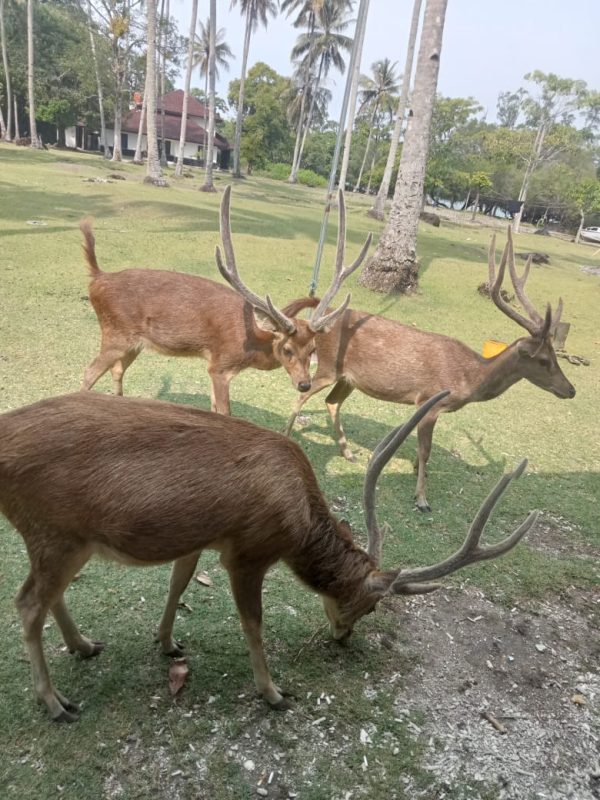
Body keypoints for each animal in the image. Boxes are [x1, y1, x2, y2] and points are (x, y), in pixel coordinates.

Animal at [0, 390, 536, 724]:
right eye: (370, 606)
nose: (343, 637)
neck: (297, 524)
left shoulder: (202, 537)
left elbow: (179, 580)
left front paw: (168, 641)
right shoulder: (248, 551)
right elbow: (253, 624)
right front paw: (274, 692)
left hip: (66, 540)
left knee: (47, 596)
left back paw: (84, 645)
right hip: (54, 532)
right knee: (26, 603)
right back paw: (55, 703)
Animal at [79, 187, 370, 412]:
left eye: (312, 350)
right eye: (287, 349)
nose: (304, 384)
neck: (253, 342)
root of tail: (97, 278)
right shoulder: (220, 365)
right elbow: (224, 411)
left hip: (133, 343)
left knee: (117, 370)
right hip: (115, 333)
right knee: (89, 373)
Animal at [286, 228, 576, 510]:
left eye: (555, 355)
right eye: (543, 360)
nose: (571, 390)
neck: (469, 378)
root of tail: (323, 318)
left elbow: (423, 449)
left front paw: (417, 470)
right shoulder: (430, 401)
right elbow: (427, 449)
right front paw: (422, 497)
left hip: (348, 379)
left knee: (332, 402)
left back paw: (348, 453)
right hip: (328, 367)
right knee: (302, 393)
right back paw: (288, 435)